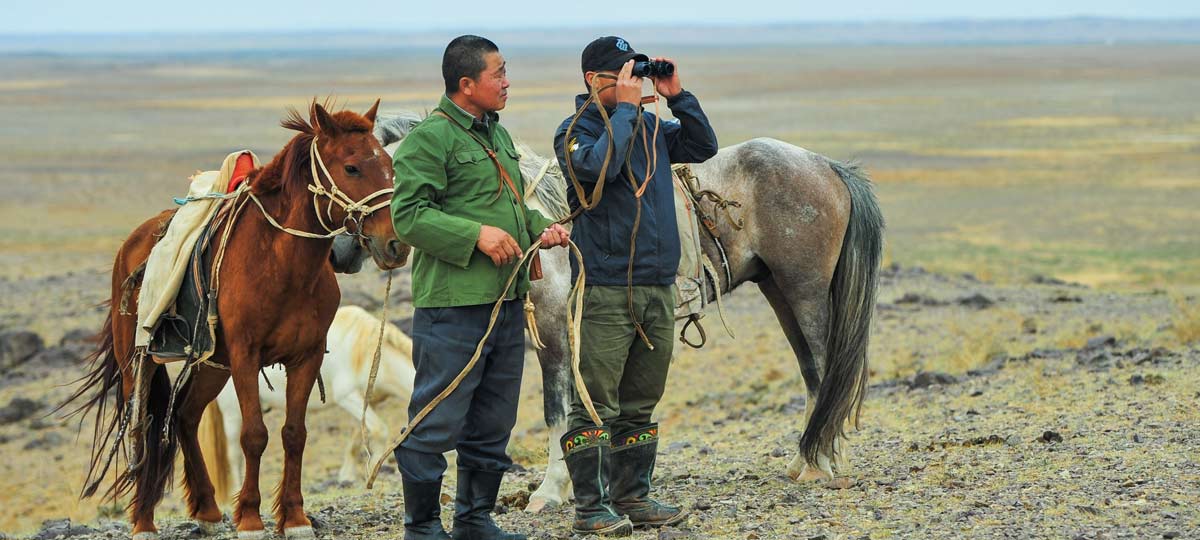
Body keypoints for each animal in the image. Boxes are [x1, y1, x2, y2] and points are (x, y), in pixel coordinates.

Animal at [65, 101, 408, 540]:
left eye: (389, 165)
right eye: (351, 168)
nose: (395, 245)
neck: (282, 264)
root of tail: (132, 243)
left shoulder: (306, 356)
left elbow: (294, 435)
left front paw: (294, 517)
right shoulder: (247, 355)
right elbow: (254, 435)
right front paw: (249, 518)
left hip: (212, 364)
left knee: (185, 415)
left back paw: (209, 510)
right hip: (138, 360)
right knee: (142, 426)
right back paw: (143, 520)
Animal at [372, 112, 883, 511]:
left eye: (378, 167)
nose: (383, 247)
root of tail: (827, 165)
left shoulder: (555, 327)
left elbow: (557, 409)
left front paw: (549, 492)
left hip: (805, 290)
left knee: (827, 369)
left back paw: (821, 464)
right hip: (779, 290)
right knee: (813, 375)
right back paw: (805, 460)